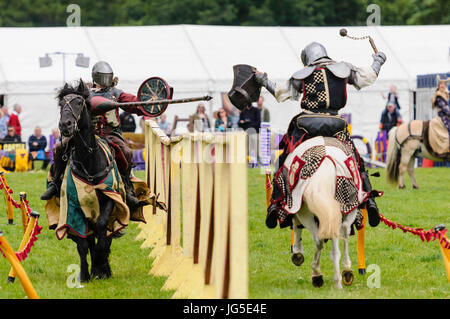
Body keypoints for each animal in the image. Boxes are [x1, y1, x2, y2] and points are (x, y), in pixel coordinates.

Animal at [58, 80, 121, 282]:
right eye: (61, 104)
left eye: (79, 102)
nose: (65, 125)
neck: (90, 163)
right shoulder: (74, 208)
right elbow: (83, 244)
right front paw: (85, 274)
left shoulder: (111, 199)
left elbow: (102, 231)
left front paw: (101, 265)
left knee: (105, 236)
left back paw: (103, 267)